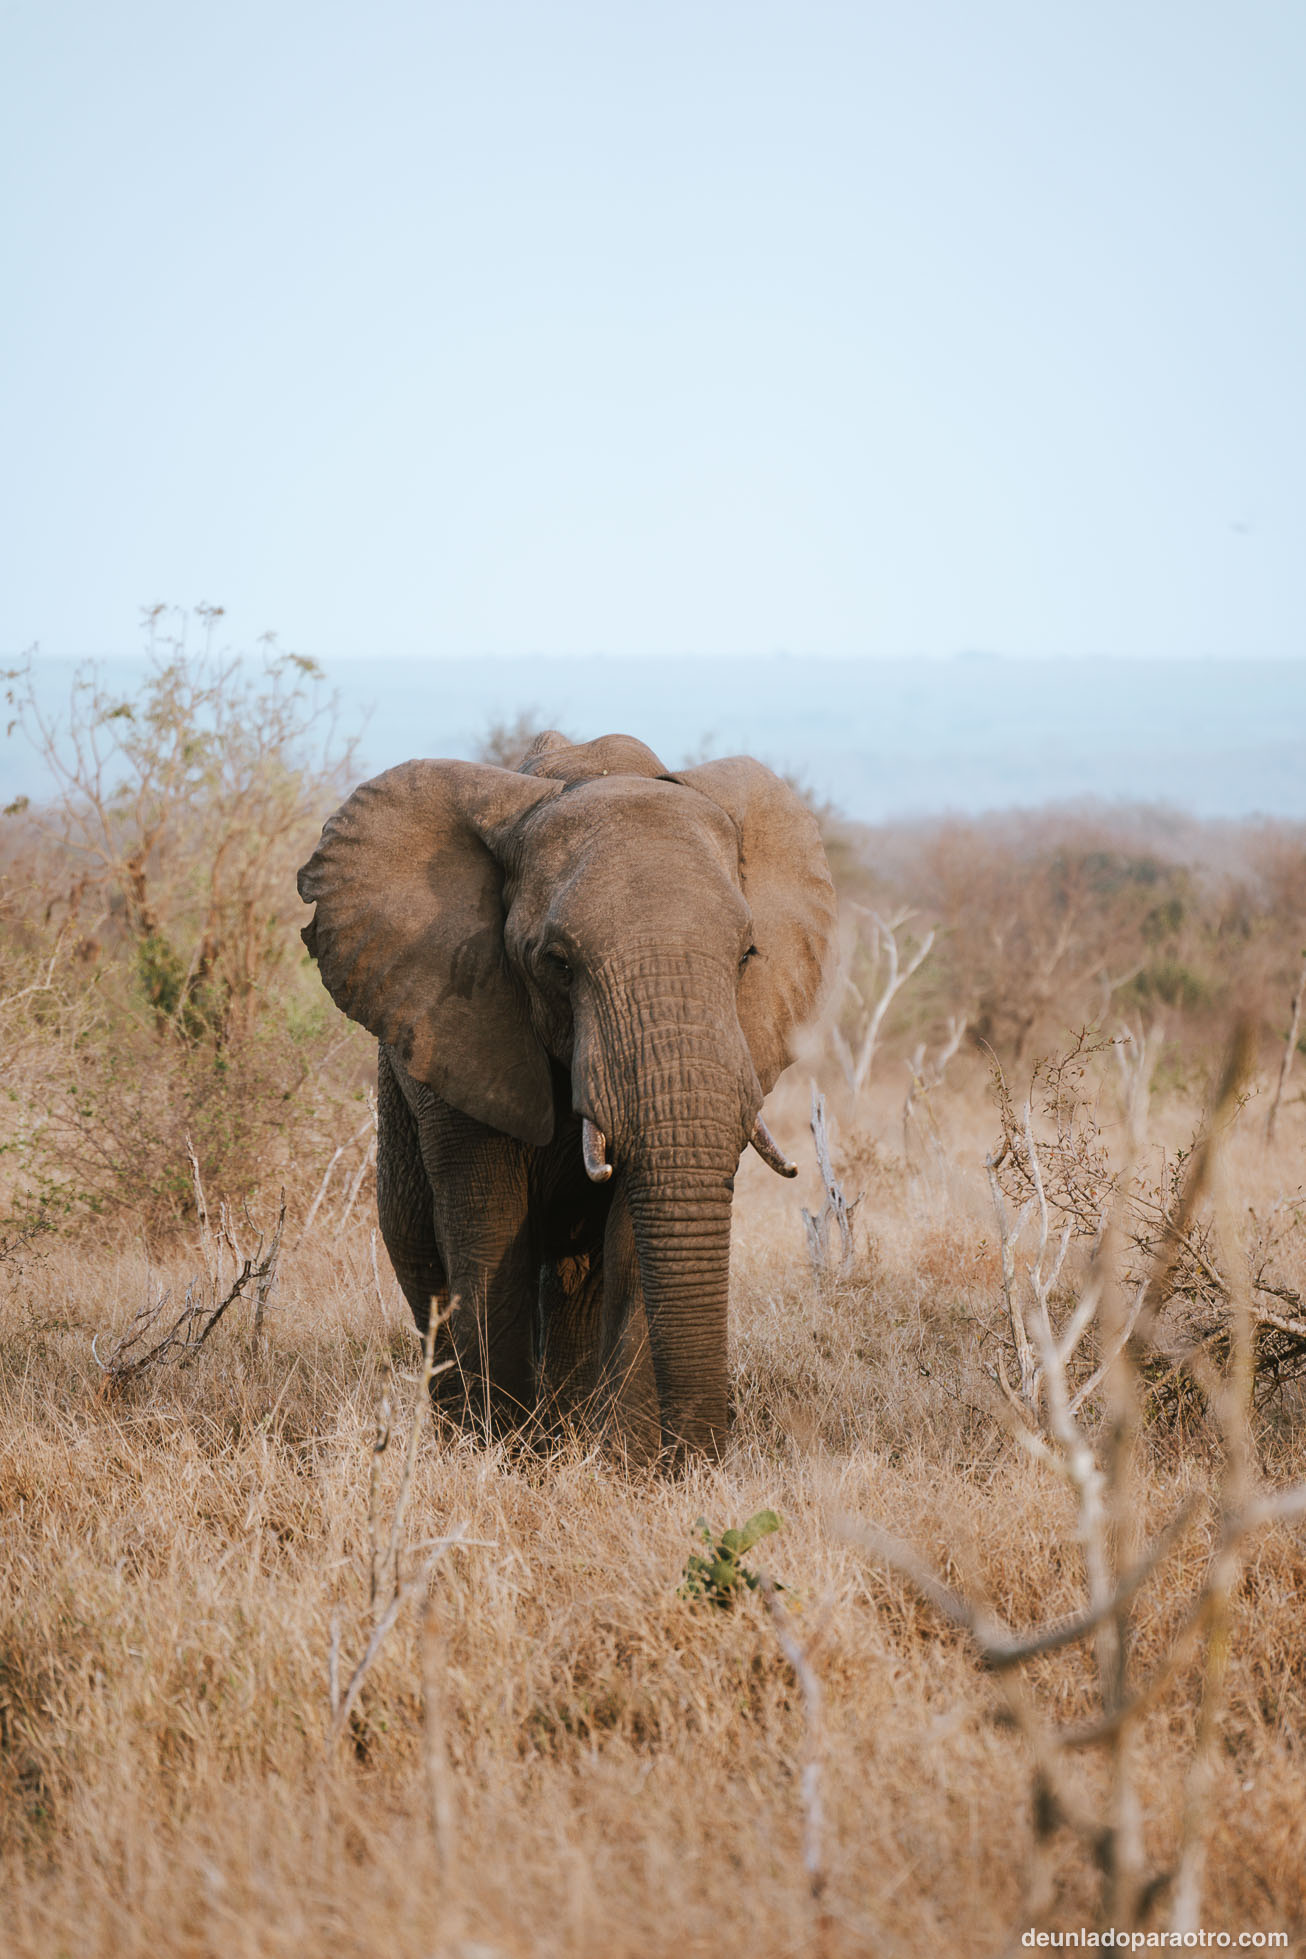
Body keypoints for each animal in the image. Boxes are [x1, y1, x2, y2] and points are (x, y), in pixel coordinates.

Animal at [299, 728, 838, 1465]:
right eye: (557, 962)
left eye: (747, 956)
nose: (704, 1458)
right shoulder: (461, 1019)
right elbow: (488, 1229)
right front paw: (504, 1455)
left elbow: (633, 1235)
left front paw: (622, 1465)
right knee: (418, 1251)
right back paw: (471, 1431)